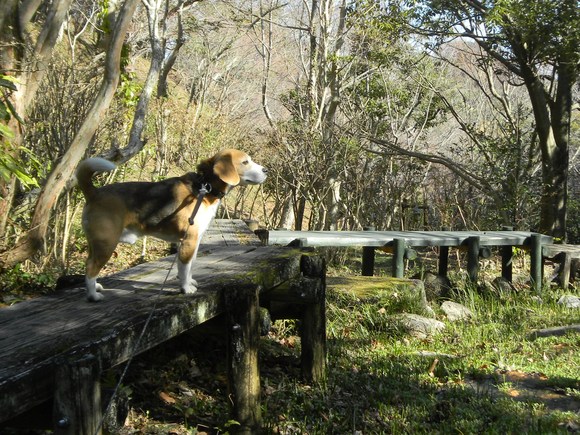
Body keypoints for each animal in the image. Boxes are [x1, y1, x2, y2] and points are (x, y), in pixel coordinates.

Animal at [76, 148, 268, 302]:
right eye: (245, 162)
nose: (266, 170)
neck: (205, 186)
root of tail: (94, 192)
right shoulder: (189, 240)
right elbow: (184, 267)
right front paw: (186, 288)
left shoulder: (194, 241)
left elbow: (190, 266)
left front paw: (190, 281)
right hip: (106, 243)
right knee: (91, 267)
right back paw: (93, 295)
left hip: (96, 244)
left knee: (88, 264)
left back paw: (95, 286)